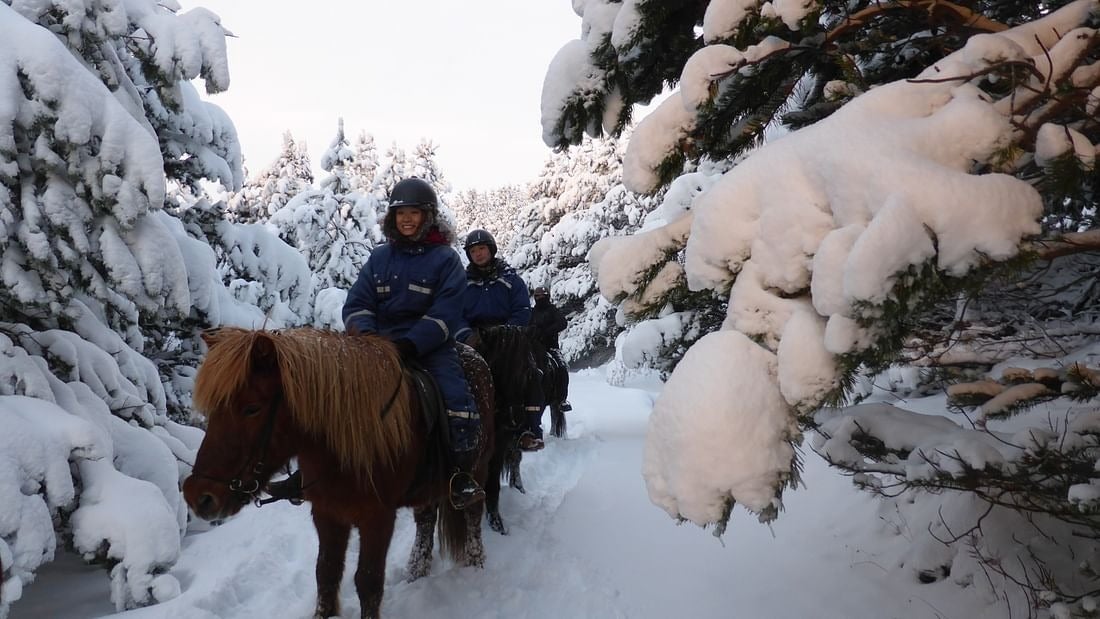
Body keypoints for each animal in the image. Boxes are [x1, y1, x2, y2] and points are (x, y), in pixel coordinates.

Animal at [182, 328, 494, 619]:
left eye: (251, 408)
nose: (199, 496)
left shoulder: (377, 519)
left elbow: (368, 582)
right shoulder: (327, 513)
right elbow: (326, 573)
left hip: (477, 469)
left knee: (473, 517)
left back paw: (476, 565)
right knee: (426, 522)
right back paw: (416, 571)